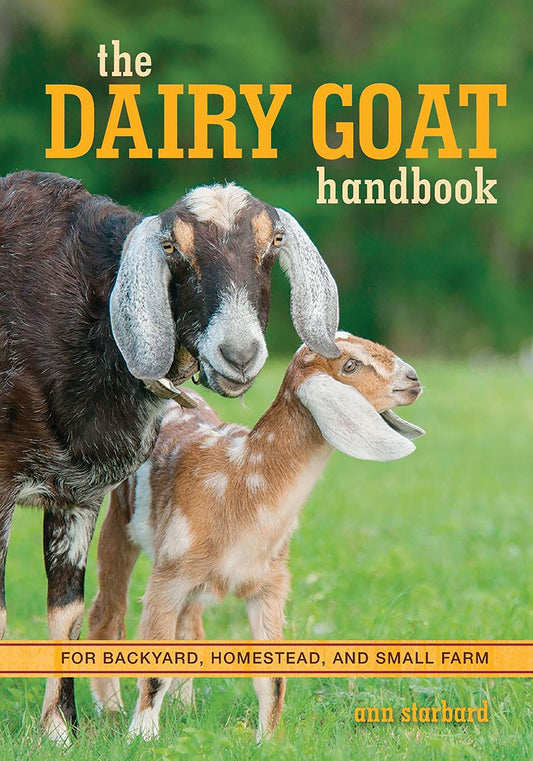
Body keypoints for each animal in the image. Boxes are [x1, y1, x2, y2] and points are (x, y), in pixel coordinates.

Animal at [0, 171, 339, 742]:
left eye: (273, 242)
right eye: (172, 248)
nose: (239, 355)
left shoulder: (76, 492)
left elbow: (65, 613)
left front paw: (60, 730)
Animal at [88, 331, 424, 741]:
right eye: (350, 365)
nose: (412, 379)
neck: (240, 483)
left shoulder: (270, 583)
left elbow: (272, 677)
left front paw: (269, 739)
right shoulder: (167, 577)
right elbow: (154, 666)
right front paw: (143, 736)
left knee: (190, 629)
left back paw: (186, 708)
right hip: (120, 521)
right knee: (106, 613)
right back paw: (110, 711)